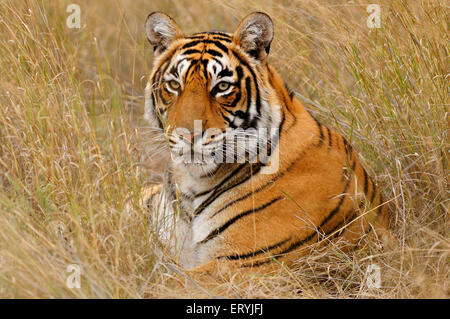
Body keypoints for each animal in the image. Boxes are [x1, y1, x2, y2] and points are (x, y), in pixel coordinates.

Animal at [141, 11, 390, 278]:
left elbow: (163, 282)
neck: (194, 184)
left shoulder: (243, 263)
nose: (188, 135)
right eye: (174, 85)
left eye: (222, 87)